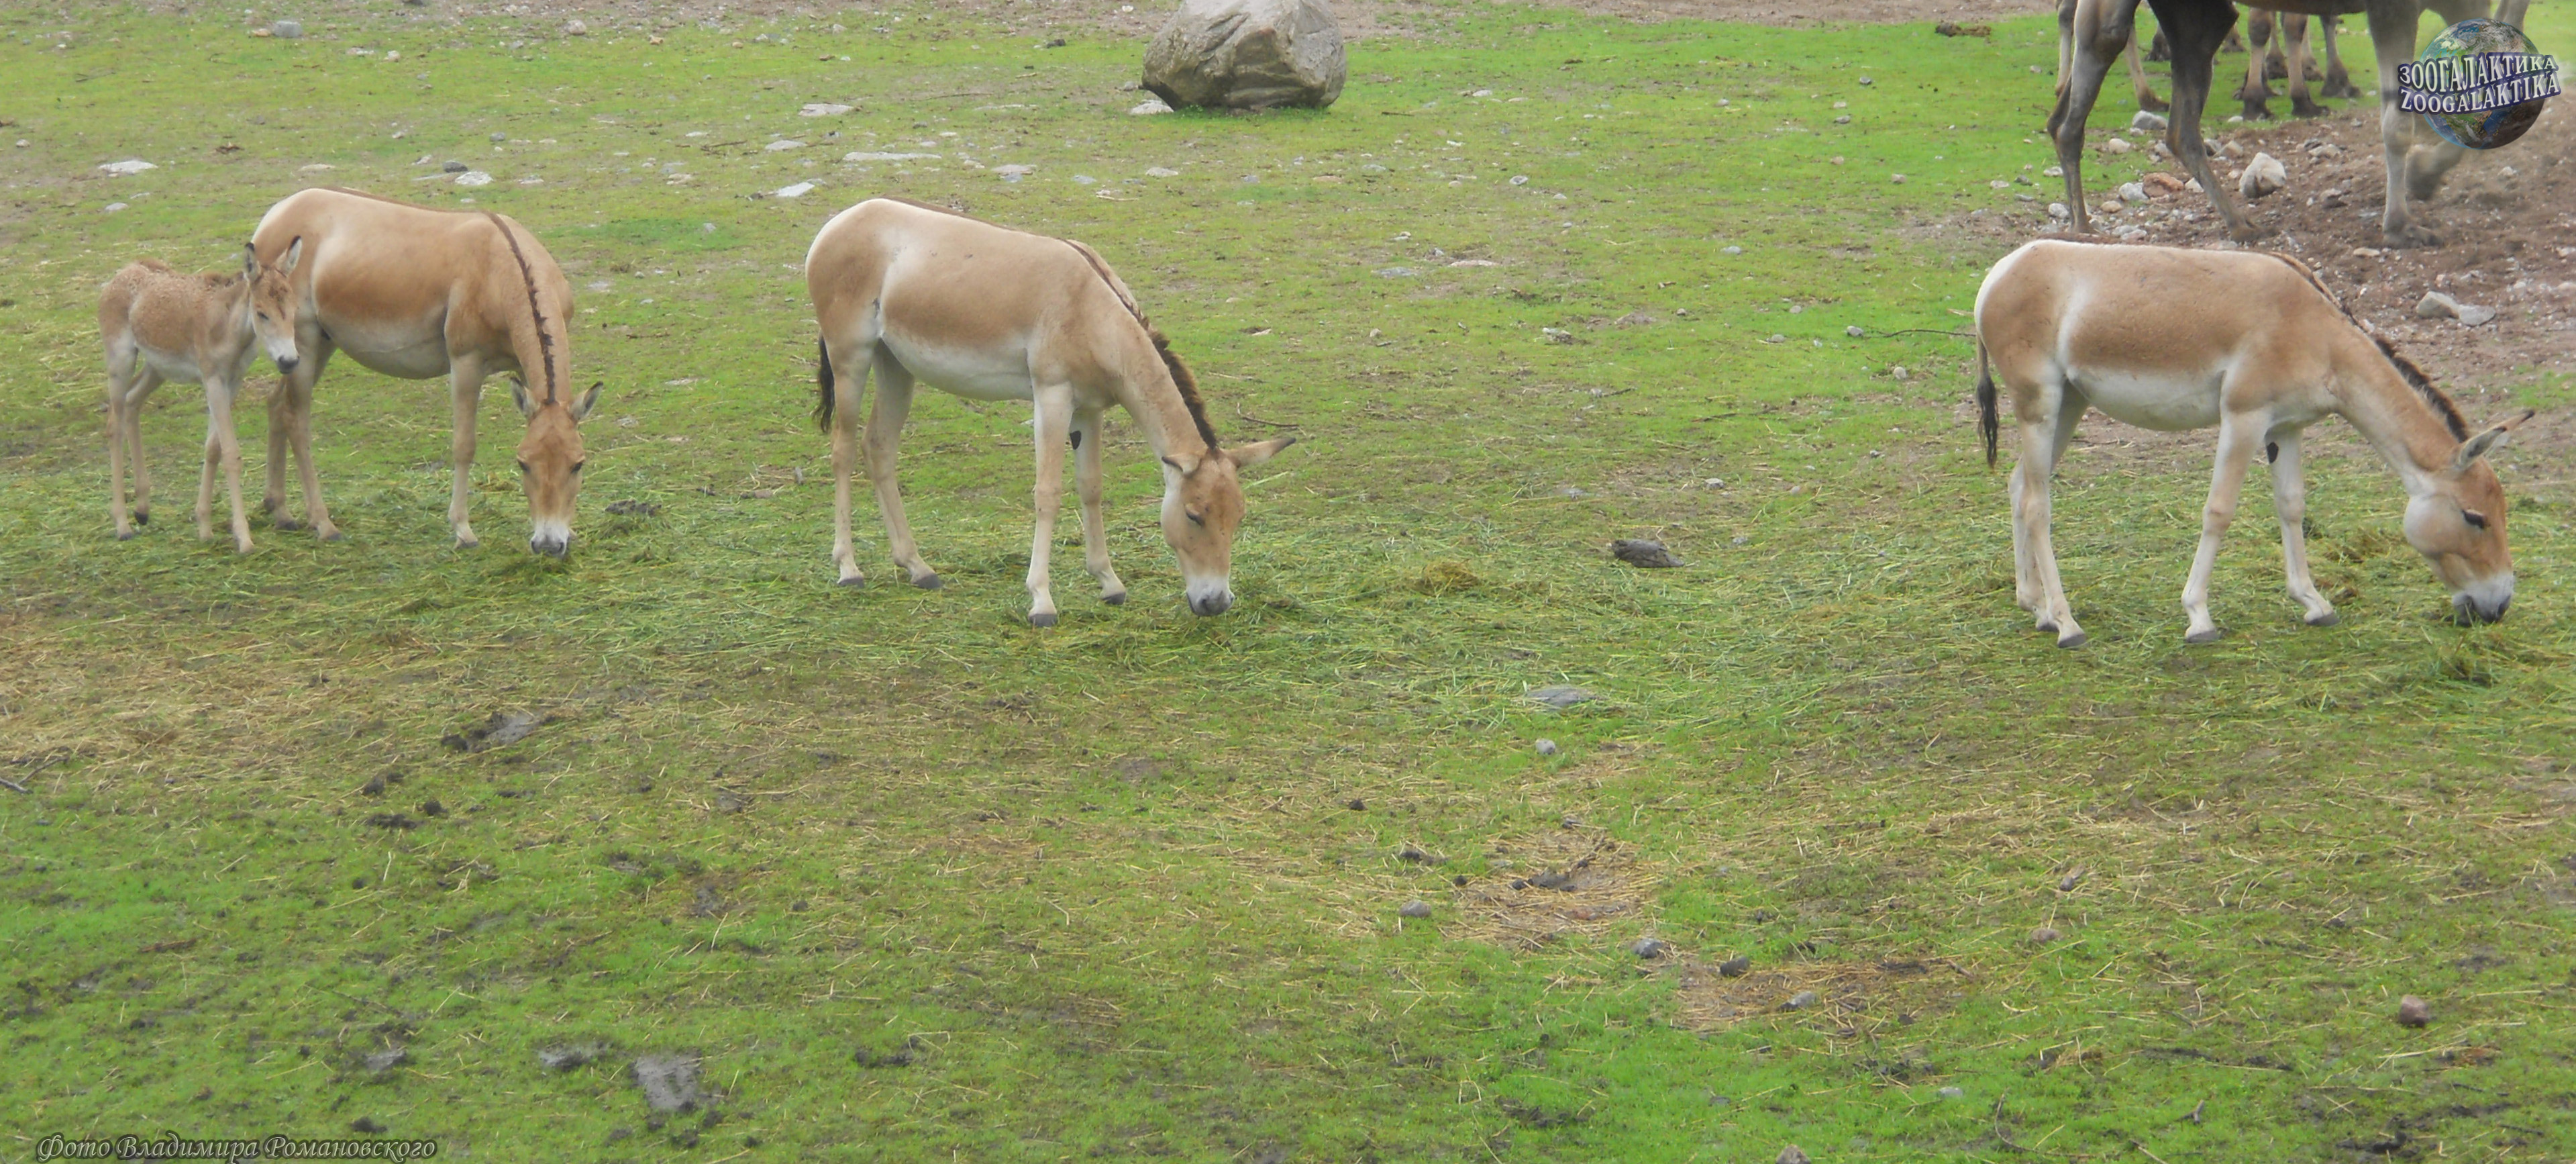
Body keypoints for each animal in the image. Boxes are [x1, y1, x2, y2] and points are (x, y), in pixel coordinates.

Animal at [98, 240, 305, 553]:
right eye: (262, 313)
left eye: (293, 309)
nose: (289, 362)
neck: (228, 326)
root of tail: (125, 271)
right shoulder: (214, 381)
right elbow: (231, 453)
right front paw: (244, 538)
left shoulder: (232, 382)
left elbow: (213, 449)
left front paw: (204, 527)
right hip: (120, 361)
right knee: (114, 427)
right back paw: (122, 525)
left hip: (156, 368)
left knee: (133, 403)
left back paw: (143, 509)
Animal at [249, 188, 600, 556]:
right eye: (523, 463)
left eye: (578, 464)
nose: (548, 544)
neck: (502, 269)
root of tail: (279, 211)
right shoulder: (466, 362)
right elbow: (464, 445)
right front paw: (463, 530)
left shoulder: (522, 365)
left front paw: (571, 532)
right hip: (302, 338)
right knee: (296, 418)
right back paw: (323, 523)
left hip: (317, 344)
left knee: (276, 403)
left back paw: (280, 511)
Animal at [805, 197, 1296, 626]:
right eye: (1194, 515)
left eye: (1239, 516)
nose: (1216, 603)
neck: (1091, 309)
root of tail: (840, 221)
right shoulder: (1052, 396)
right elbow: (1048, 493)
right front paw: (1041, 600)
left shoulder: (1090, 409)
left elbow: (1091, 488)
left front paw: (1110, 583)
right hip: (850, 357)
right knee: (842, 451)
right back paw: (849, 569)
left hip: (895, 366)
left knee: (879, 447)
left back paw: (917, 567)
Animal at [1974, 239, 2527, 646]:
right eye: (2475, 518)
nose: (2498, 607)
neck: (2314, 330)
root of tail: (1997, 272)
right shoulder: (2244, 417)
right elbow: (2219, 510)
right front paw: (2198, 616)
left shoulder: (2286, 427)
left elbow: (2292, 507)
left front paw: (2314, 603)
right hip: (2040, 403)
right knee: (2038, 504)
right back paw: (2066, 624)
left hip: (2069, 403)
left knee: (2019, 486)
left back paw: (2036, 607)